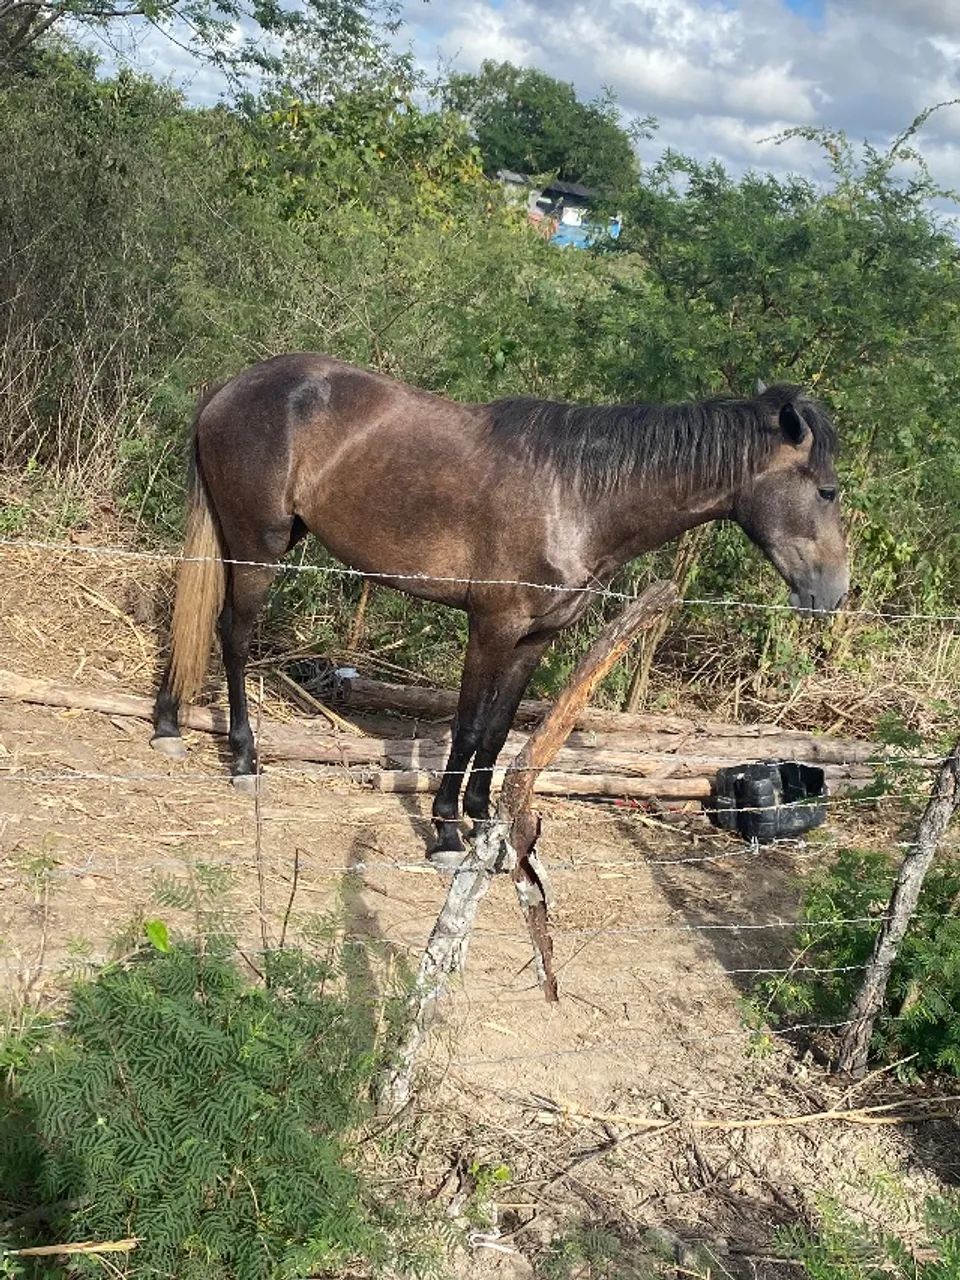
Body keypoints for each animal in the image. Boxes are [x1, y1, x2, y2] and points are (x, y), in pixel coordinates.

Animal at [150, 353, 849, 861]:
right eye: (827, 491)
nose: (833, 593)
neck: (576, 494)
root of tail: (232, 387)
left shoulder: (534, 638)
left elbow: (497, 730)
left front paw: (486, 822)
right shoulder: (491, 626)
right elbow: (465, 727)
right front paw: (445, 832)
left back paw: (167, 724)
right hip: (258, 546)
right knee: (233, 635)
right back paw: (243, 757)